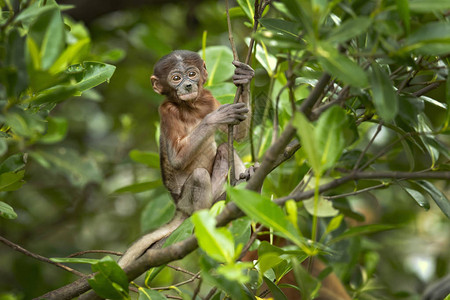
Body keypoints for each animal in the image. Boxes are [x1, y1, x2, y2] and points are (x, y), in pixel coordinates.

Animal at [118, 49, 255, 268]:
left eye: (192, 74)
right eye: (176, 78)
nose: (188, 85)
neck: (190, 107)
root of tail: (178, 207)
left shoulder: (208, 97)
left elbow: (238, 135)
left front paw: (244, 77)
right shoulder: (167, 111)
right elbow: (177, 159)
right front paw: (214, 118)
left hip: (217, 190)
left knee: (226, 148)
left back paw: (244, 180)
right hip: (188, 203)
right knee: (199, 175)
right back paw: (204, 222)